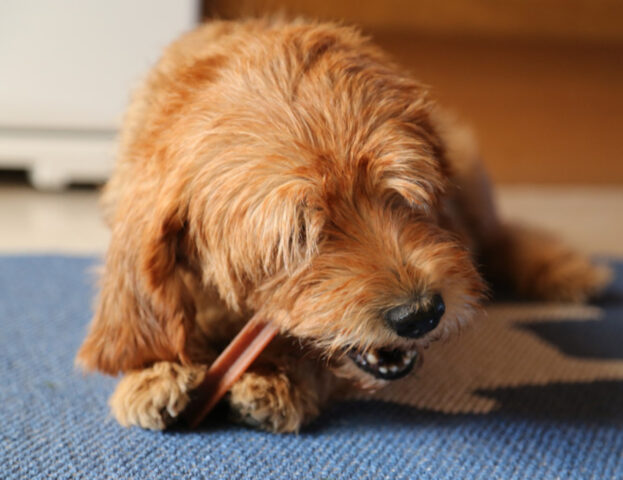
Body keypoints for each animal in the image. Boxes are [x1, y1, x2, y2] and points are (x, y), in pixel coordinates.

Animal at [75, 18, 612, 434]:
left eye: (403, 194)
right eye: (298, 236)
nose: (421, 314)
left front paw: (279, 378)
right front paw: (153, 372)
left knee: (499, 235)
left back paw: (565, 268)